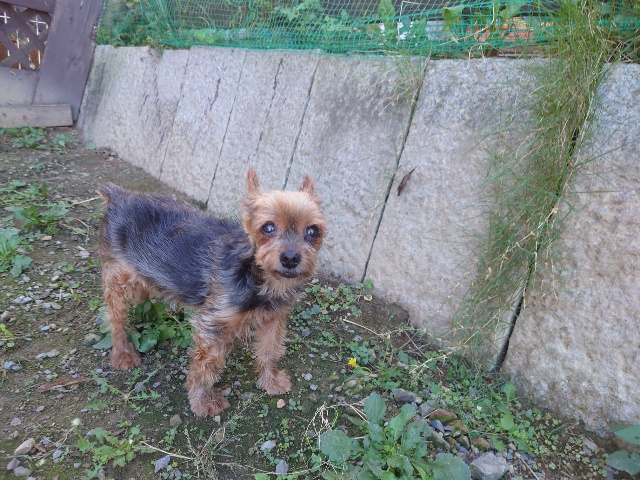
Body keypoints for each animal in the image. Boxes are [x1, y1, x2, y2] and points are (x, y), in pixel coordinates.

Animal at [98, 169, 327, 417]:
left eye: (313, 231)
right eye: (268, 227)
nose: (291, 258)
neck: (259, 277)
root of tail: (119, 195)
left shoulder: (274, 318)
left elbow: (269, 350)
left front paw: (270, 380)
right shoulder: (213, 325)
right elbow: (206, 365)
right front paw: (202, 401)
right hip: (118, 277)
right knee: (115, 316)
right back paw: (122, 353)